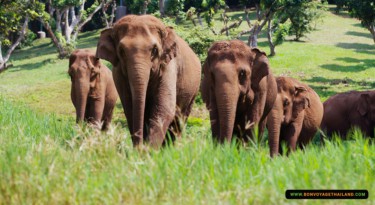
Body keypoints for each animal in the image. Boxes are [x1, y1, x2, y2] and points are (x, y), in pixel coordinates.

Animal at [97, 15, 203, 148]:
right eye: (121, 51)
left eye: (155, 50)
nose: (140, 147)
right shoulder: (118, 74)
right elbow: (129, 107)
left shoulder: (169, 66)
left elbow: (164, 107)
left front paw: (149, 150)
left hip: (193, 91)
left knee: (180, 117)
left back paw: (171, 147)